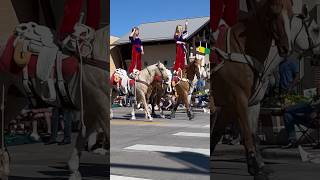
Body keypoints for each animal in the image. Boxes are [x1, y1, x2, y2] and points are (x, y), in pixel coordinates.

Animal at [211, 0, 294, 179]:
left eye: (291, 15)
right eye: (273, 13)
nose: (286, 48)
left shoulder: (250, 104)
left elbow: (252, 135)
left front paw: (257, 165)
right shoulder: (238, 100)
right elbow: (247, 134)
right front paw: (256, 168)